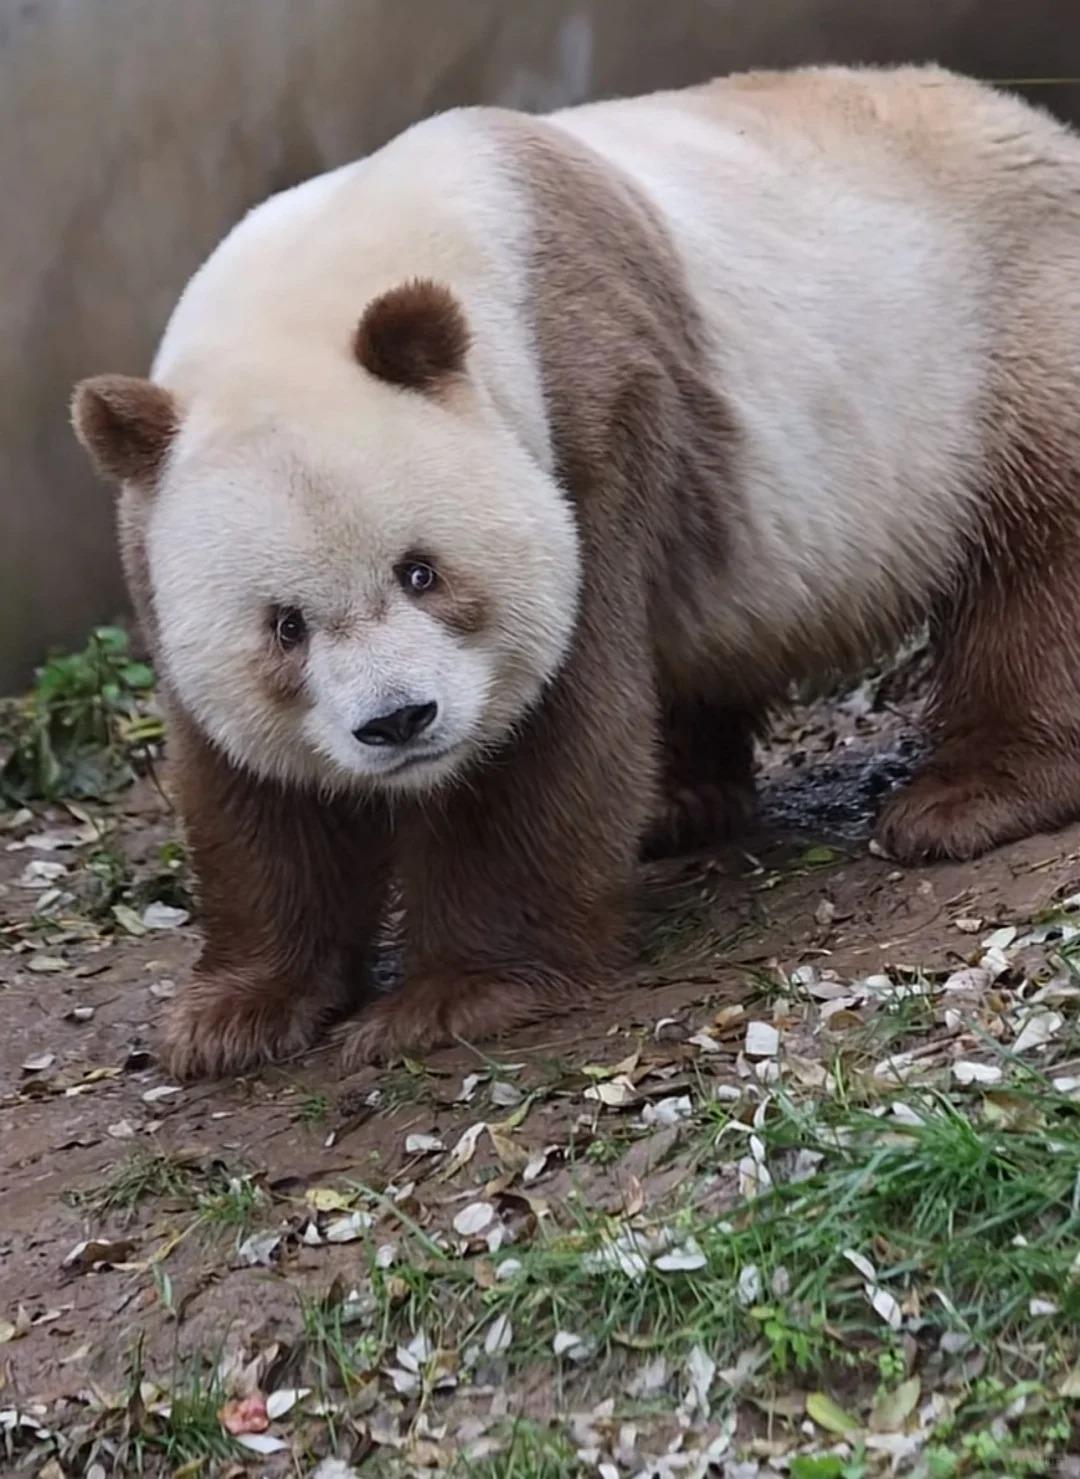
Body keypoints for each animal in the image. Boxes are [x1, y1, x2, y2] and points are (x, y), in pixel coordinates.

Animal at [72, 64, 1080, 1079]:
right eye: (285, 625)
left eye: (419, 572)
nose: (399, 721)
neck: (325, 282)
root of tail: (1034, 124)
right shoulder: (154, 530)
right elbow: (254, 790)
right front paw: (233, 1015)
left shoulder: (587, 412)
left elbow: (545, 724)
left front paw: (448, 997)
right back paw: (680, 805)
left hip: (1000, 336)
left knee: (1040, 560)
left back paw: (968, 797)